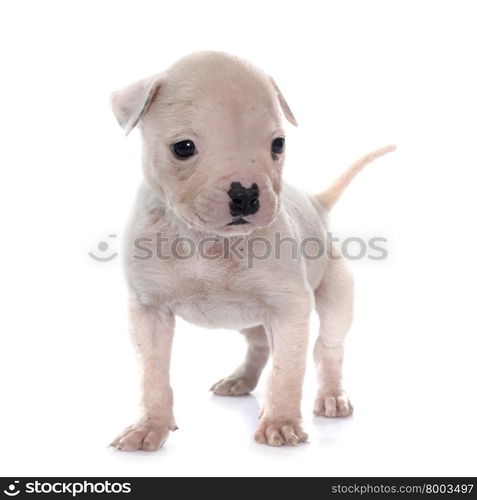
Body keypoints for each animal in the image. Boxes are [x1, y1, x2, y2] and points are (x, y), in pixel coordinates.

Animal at [109, 50, 394, 450]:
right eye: (183, 147)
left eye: (278, 144)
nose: (245, 194)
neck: (208, 241)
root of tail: (316, 203)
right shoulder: (148, 312)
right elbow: (152, 376)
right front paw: (149, 426)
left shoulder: (290, 309)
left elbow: (287, 370)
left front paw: (281, 422)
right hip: (246, 317)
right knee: (260, 345)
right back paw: (240, 379)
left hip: (336, 295)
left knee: (327, 348)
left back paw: (331, 396)